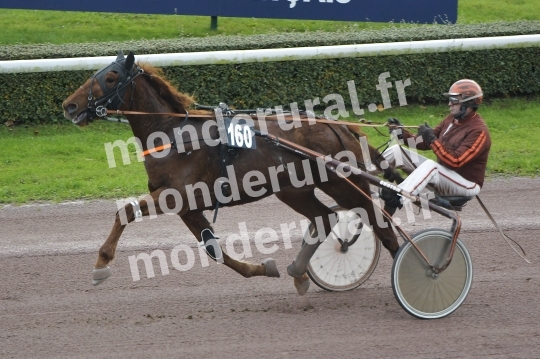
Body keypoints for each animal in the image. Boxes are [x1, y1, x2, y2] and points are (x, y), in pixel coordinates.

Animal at [64, 50, 400, 296]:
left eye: (110, 77)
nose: (70, 106)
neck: (175, 135)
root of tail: (339, 126)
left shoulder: (177, 195)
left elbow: (126, 212)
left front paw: (101, 264)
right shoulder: (188, 207)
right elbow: (213, 249)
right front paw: (262, 268)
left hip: (342, 182)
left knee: (378, 220)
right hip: (294, 189)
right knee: (324, 217)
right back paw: (298, 272)